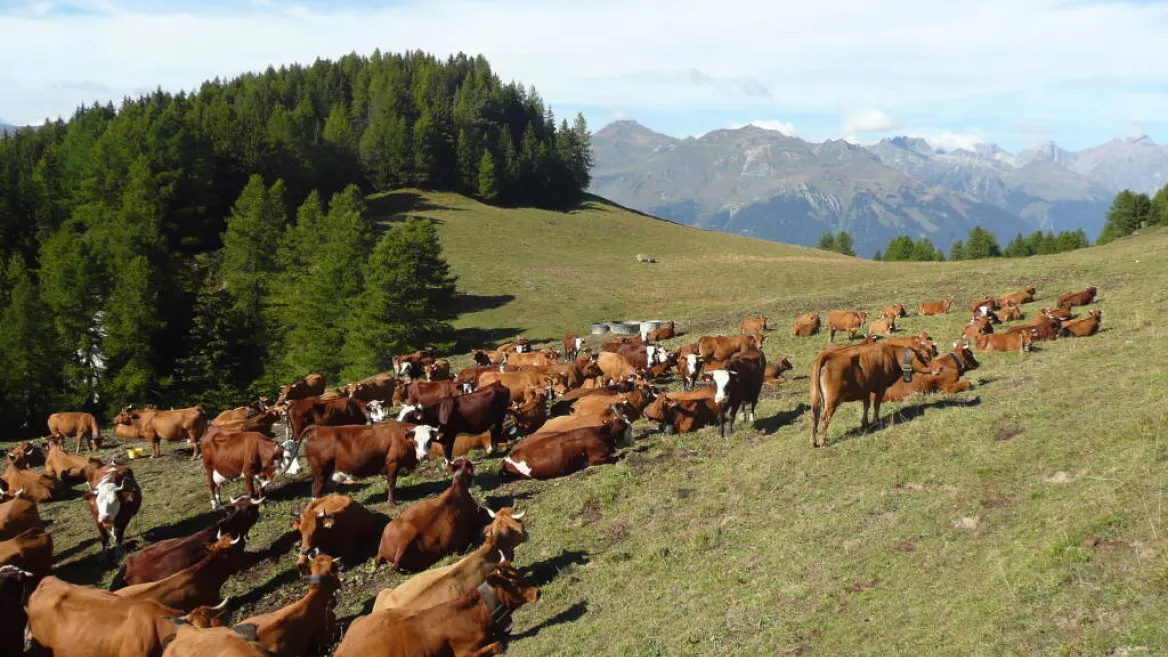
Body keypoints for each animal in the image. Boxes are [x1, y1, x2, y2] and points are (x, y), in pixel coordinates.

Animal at [300, 422, 434, 504]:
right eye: (415, 441)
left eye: (429, 441)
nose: (423, 456)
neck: (401, 436)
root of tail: (317, 429)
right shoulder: (392, 463)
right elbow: (392, 483)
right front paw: (392, 502)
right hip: (321, 472)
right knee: (316, 489)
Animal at [502, 418, 633, 480]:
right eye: (628, 428)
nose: (634, 441)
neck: (600, 434)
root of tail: (507, 458)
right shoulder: (596, 458)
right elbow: (618, 457)